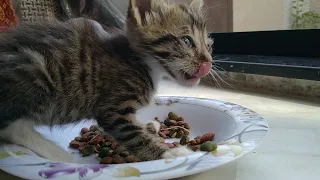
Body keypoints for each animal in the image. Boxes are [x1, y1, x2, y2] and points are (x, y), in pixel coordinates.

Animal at [0, 0, 214, 162]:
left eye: (209, 45)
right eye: (186, 41)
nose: (209, 62)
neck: (141, 62)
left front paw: (148, 126)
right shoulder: (113, 109)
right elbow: (133, 135)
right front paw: (171, 153)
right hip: (37, 70)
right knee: (12, 128)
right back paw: (61, 156)